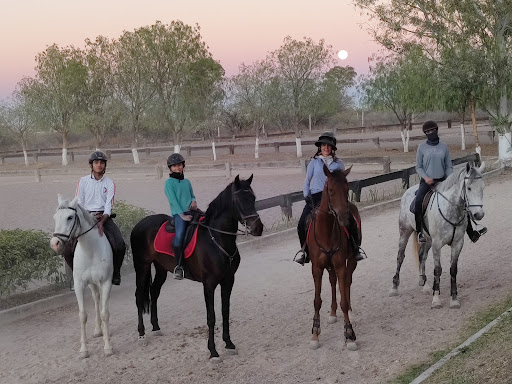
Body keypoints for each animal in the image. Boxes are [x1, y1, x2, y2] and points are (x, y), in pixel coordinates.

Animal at [49, 195, 113, 356]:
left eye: (70, 217)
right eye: (55, 217)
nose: (55, 243)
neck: (90, 250)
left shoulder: (106, 282)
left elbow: (105, 313)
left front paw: (108, 346)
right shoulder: (79, 285)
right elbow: (82, 315)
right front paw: (84, 349)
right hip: (92, 284)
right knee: (96, 300)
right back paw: (98, 330)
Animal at [130, 176, 262, 362]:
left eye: (253, 198)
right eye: (239, 200)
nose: (258, 228)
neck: (217, 240)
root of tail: (139, 224)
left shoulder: (228, 281)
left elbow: (225, 311)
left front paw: (229, 344)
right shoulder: (209, 284)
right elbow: (211, 317)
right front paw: (213, 352)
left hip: (161, 268)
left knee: (154, 291)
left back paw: (156, 327)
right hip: (142, 266)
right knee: (139, 296)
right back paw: (142, 334)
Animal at [308, 165, 360, 352]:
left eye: (347, 188)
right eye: (330, 190)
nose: (344, 217)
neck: (326, 233)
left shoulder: (340, 265)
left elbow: (343, 297)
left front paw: (350, 335)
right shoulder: (316, 268)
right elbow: (317, 301)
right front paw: (315, 335)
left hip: (351, 261)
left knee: (346, 283)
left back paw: (349, 311)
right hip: (329, 266)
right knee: (332, 282)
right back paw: (332, 313)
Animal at [390, 162, 486, 308]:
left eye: (482, 188)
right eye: (469, 188)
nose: (478, 215)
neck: (451, 210)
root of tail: (408, 191)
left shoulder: (458, 243)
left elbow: (453, 269)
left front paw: (454, 299)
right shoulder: (437, 244)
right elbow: (437, 270)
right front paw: (436, 299)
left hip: (427, 239)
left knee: (422, 256)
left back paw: (425, 285)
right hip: (405, 232)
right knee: (400, 257)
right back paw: (394, 287)